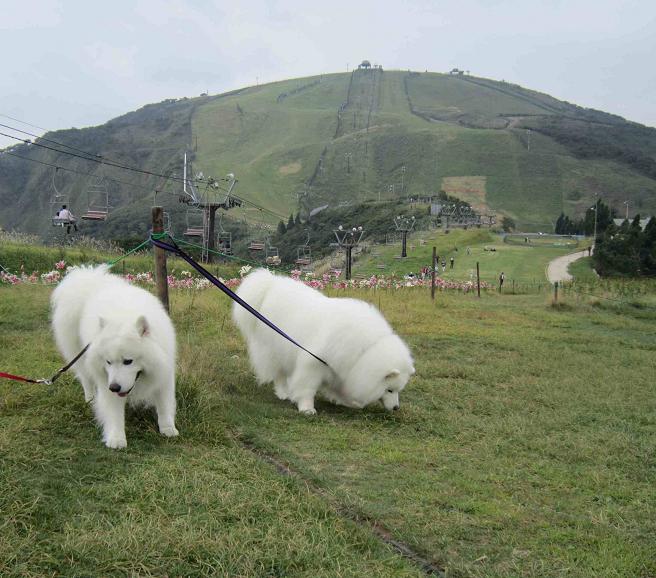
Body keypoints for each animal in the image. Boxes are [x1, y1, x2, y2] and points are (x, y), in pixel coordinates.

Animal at [51, 264, 178, 448]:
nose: (115, 387)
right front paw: (116, 438)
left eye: (128, 361)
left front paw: (168, 428)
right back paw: (90, 399)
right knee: (85, 378)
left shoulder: (163, 372)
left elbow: (164, 404)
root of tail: (89, 280)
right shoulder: (107, 379)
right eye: (108, 362)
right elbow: (114, 413)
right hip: (79, 355)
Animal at [233, 268, 412, 412]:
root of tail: (271, 284)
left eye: (398, 390)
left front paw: (349, 402)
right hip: (274, 351)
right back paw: (284, 393)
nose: (396, 408)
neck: (364, 352)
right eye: (389, 390)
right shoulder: (313, 363)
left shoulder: (341, 370)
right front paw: (307, 408)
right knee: (279, 375)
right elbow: (307, 387)